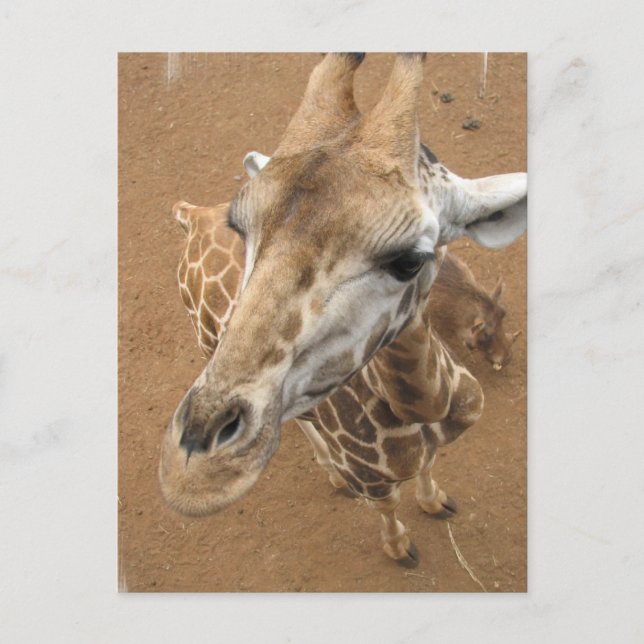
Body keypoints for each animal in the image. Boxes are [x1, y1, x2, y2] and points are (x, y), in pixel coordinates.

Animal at [159, 53, 527, 566]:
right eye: (242, 227)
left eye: (411, 259)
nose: (194, 475)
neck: (423, 412)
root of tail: (188, 215)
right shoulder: (371, 479)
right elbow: (388, 505)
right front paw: (400, 548)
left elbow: (430, 467)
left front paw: (435, 502)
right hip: (205, 342)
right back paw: (331, 475)